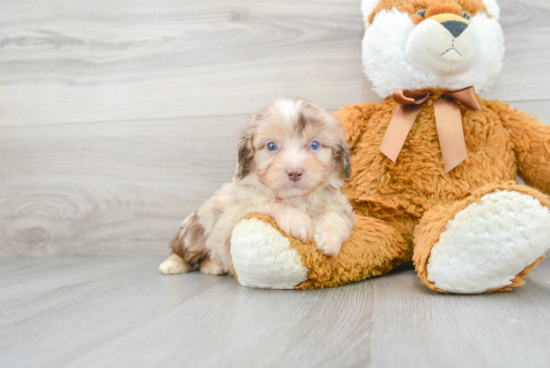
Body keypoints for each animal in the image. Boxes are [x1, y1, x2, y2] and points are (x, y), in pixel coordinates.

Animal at [160, 98, 358, 276]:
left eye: (315, 144)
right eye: (271, 146)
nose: (294, 172)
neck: (296, 198)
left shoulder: (339, 203)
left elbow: (336, 217)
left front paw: (328, 238)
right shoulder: (237, 211)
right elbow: (269, 202)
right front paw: (296, 218)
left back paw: (213, 266)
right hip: (197, 229)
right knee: (184, 249)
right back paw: (173, 264)